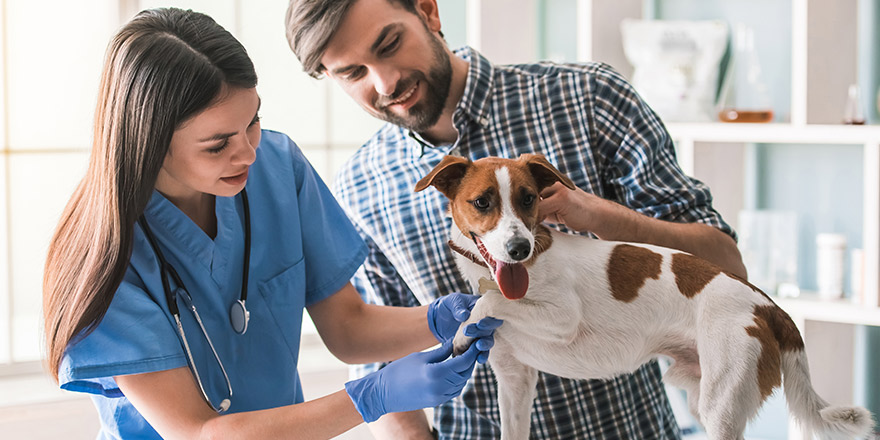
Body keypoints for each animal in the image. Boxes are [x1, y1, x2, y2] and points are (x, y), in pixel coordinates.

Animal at [416, 154, 876, 440]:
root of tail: (768, 305)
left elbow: (490, 303)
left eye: (529, 199)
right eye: (482, 202)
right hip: (700, 390)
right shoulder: (516, 382)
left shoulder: (562, 317)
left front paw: (463, 328)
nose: (518, 249)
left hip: (721, 405)